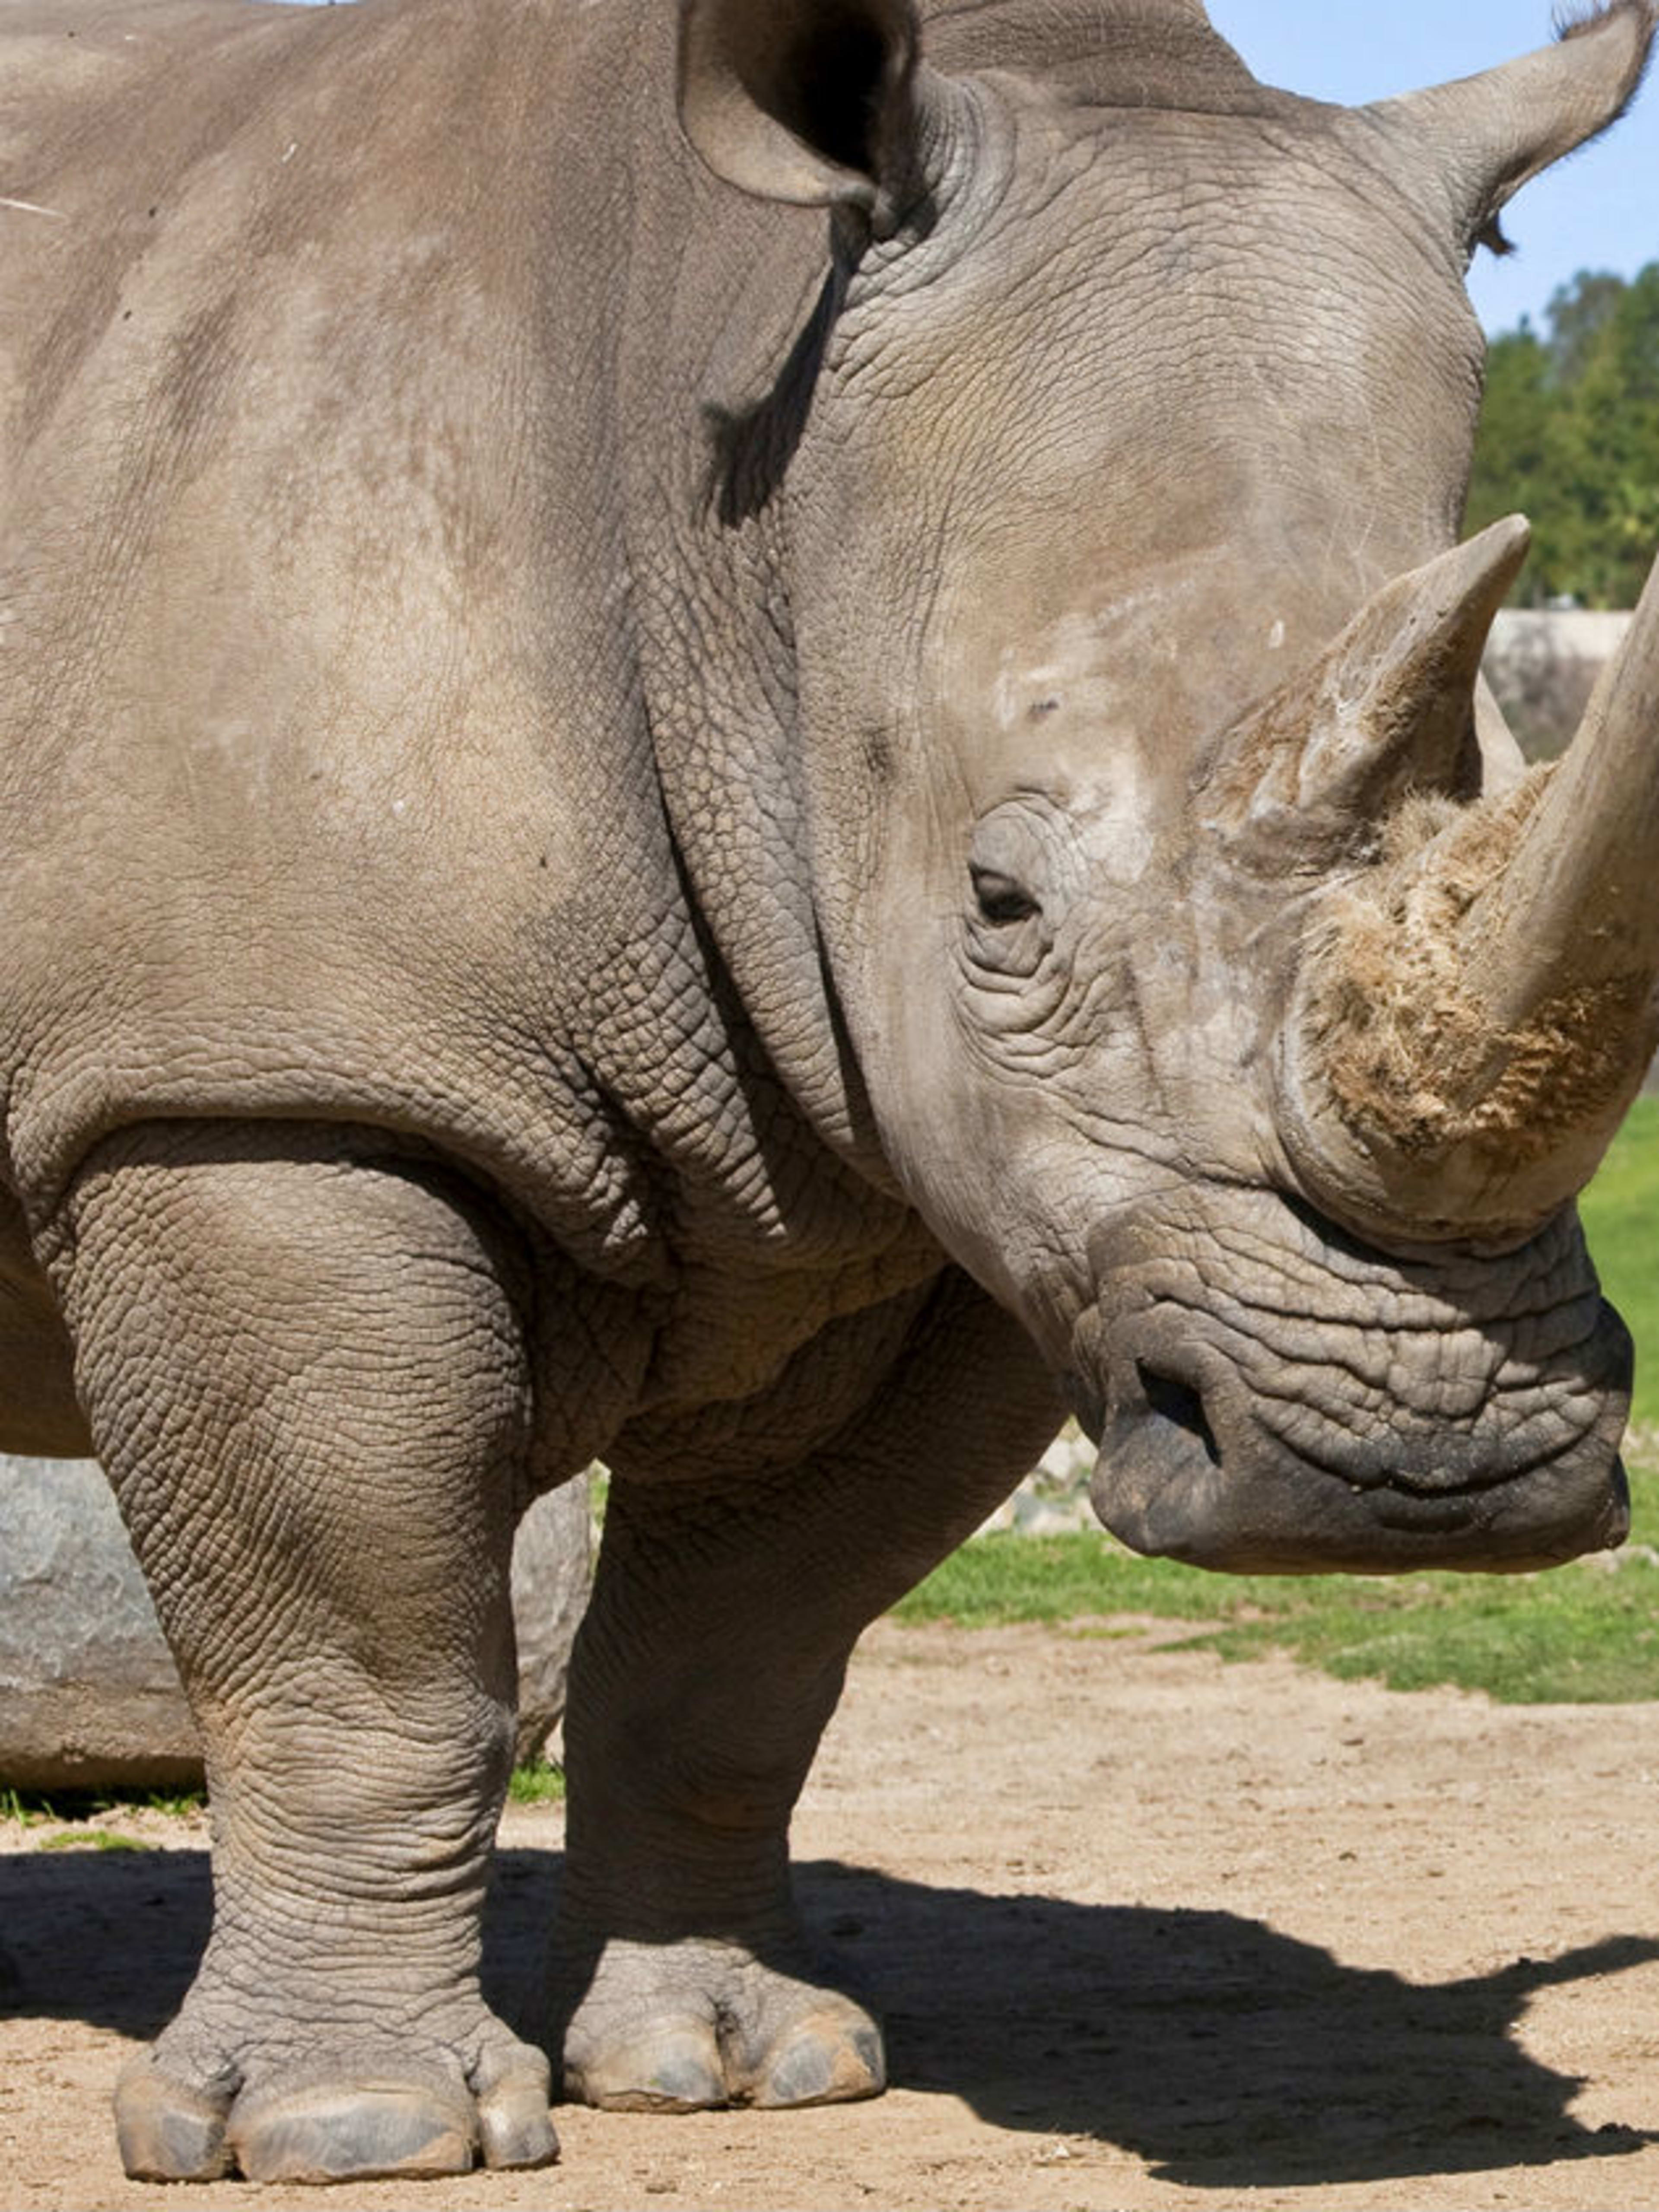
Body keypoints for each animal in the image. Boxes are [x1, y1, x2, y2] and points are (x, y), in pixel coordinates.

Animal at [2, 0, 1656, 2183]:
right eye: (1000, 902)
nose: (1418, 1464)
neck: (742, 515)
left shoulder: (943, 1195)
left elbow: (744, 1645)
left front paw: (733, 2063)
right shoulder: (257, 1076)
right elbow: (361, 1635)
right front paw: (355, 2132)